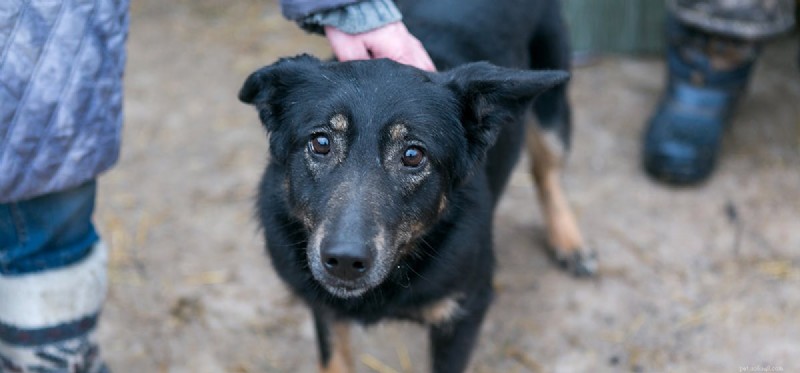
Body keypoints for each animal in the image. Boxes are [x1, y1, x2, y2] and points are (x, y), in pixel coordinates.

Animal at [238, 1, 592, 370]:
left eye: (413, 155)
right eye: (320, 143)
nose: (345, 260)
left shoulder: (464, 312)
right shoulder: (324, 308)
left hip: (552, 108)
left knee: (546, 171)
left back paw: (569, 242)